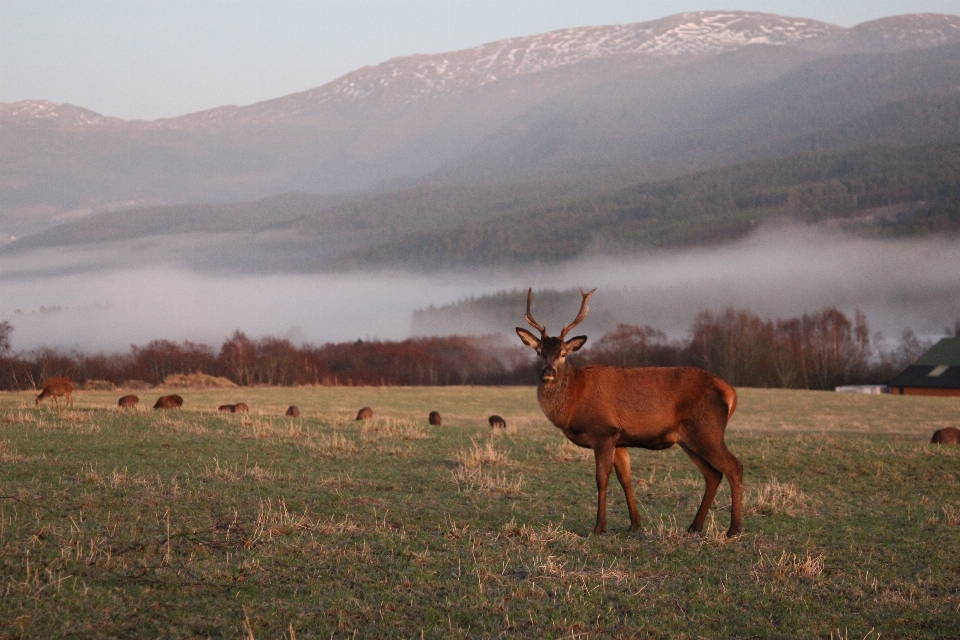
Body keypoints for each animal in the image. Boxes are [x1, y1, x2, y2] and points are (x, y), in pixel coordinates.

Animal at [512, 288, 748, 536]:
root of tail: (730, 392)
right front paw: (634, 523)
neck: (575, 401)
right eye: (539, 352)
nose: (548, 372)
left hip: (708, 429)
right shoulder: (620, 439)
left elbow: (602, 479)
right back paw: (694, 526)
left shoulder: (604, 432)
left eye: (564, 353)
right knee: (713, 474)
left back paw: (734, 528)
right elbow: (625, 479)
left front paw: (599, 526)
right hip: (689, 439)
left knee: (734, 467)